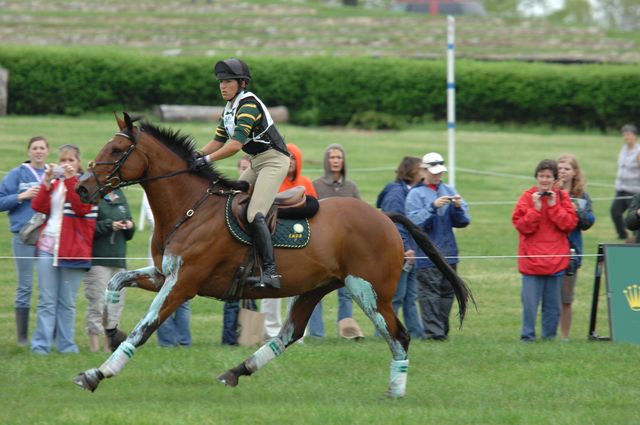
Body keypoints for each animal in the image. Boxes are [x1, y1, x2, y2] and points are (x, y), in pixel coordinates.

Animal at [74, 113, 470, 398]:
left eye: (115, 151)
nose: (81, 187)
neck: (190, 208)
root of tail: (385, 216)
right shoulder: (164, 274)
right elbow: (115, 281)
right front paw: (110, 328)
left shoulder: (184, 282)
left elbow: (145, 327)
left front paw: (98, 373)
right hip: (317, 286)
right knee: (289, 334)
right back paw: (237, 371)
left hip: (368, 290)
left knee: (399, 336)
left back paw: (395, 391)